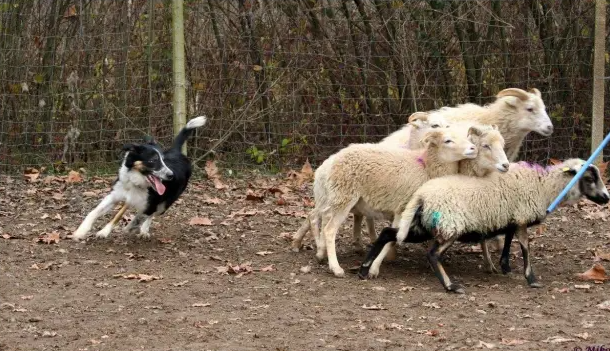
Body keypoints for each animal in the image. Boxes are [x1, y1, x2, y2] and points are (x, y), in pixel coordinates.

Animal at [356, 160, 608, 294]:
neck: (544, 187)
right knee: (432, 254)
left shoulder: (511, 216)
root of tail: (422, 195)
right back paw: (451, 285)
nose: (606, 198)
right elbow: (526, 247)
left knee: (388, 234)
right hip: (449, 225)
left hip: (422, 224)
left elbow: (508, 239)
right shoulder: (523, 217)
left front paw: (505, 265)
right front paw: (531, 278)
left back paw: (364, 268)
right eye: (589, 178)